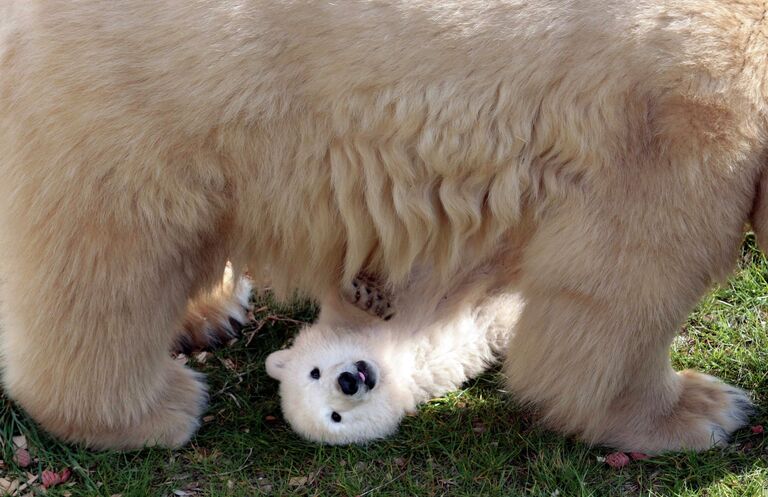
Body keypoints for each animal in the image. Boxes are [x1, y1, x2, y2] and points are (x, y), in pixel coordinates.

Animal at [0, 0, 764, 450]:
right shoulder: (684, 119)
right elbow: (620, 286)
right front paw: (700, 410)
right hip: (148, 93)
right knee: (111, 255)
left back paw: (211, 311)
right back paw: (151, 409)